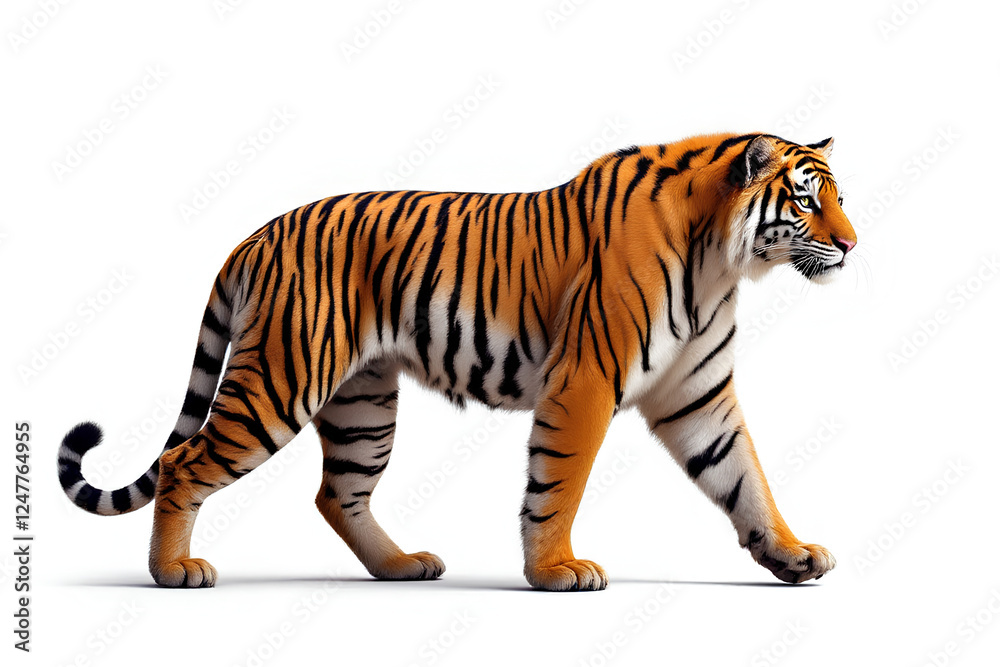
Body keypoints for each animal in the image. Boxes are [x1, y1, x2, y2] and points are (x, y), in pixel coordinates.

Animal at [58, 132, 856, 591]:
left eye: (837, 197)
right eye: (806, 201)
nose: (852, 244)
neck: (723, 261)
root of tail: (254, 235)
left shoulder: (698, 396)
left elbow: (746, 478)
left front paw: (791, 556)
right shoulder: (585, 380)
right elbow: (559, 482)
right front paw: (556, 570)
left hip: (363, 402)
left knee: (337, 493)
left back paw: (400, 566)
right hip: (281, 380)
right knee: (184, 459)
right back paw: (172, 571)